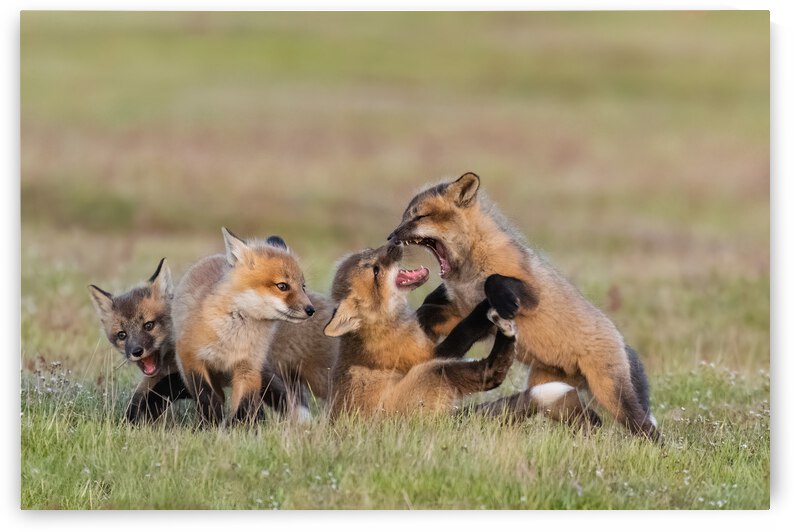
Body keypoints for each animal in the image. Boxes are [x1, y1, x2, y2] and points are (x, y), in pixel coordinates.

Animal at [172, 228, 321, 426]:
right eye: (282, 286)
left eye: (303, 287)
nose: (311, 310)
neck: (235, 337)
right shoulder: (190, 358)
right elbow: (207, 397)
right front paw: (211, 425)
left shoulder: (248, 366)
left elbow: (244, 405)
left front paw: (240, 429)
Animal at [323, 243, 517, 418]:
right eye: (375, 271)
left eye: (371, 250)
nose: (393, 242)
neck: (384, 326)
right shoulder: (427, 355)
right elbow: (463, 330)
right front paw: (485, 304)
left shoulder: (424, 335)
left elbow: (427, 308)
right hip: (433, 371)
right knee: (491, 374)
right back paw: (505, 328)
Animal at [387, 172, 660, 441]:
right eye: (405, 216)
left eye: (420, 216)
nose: (390, 237)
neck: (467, 274)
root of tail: (622, 341)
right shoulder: (460, 311)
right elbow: (430, 313)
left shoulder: (530, 295)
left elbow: (494, 280)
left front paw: (503, 300)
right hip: (554, 398)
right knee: (592, 420)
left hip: (612, 396)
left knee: (647, 429)